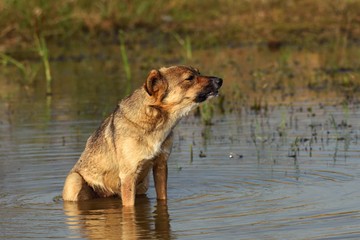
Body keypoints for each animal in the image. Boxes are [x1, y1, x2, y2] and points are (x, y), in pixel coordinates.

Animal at [63, 65, 224, 206]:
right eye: (189, 78)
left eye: (199, 72)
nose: (220, 80)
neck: (155, 122)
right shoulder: (128, 175)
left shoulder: (161, 165)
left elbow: (163, 198)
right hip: (75, 181)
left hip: (142, 185)